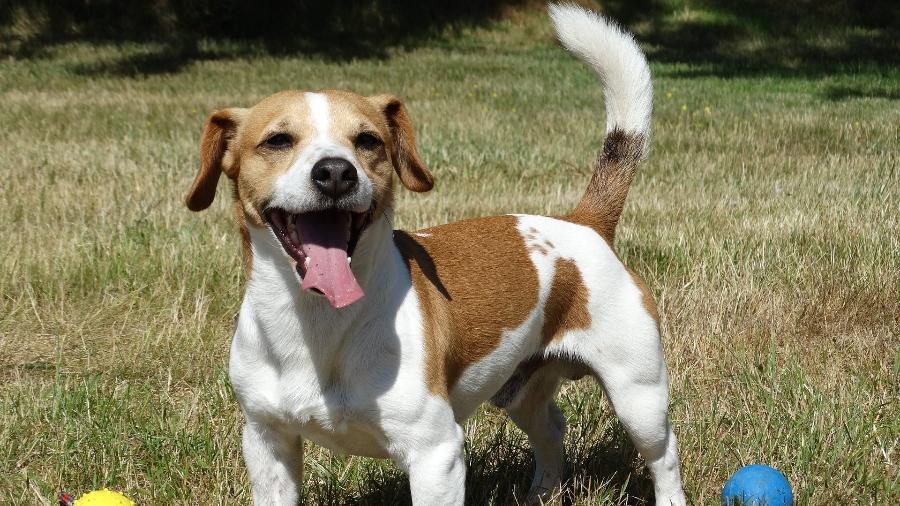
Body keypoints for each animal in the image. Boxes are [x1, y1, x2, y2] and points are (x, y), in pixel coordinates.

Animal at [186, 4, 684, 506]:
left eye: (368, 140)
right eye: (277, 140)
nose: (336, 172)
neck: (318, 320)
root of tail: (585, 223)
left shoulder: (435, 452)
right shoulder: (267, 441)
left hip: (639, 397)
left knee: (663, 455)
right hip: (521, 392)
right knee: (552, 431)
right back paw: (540, 493)